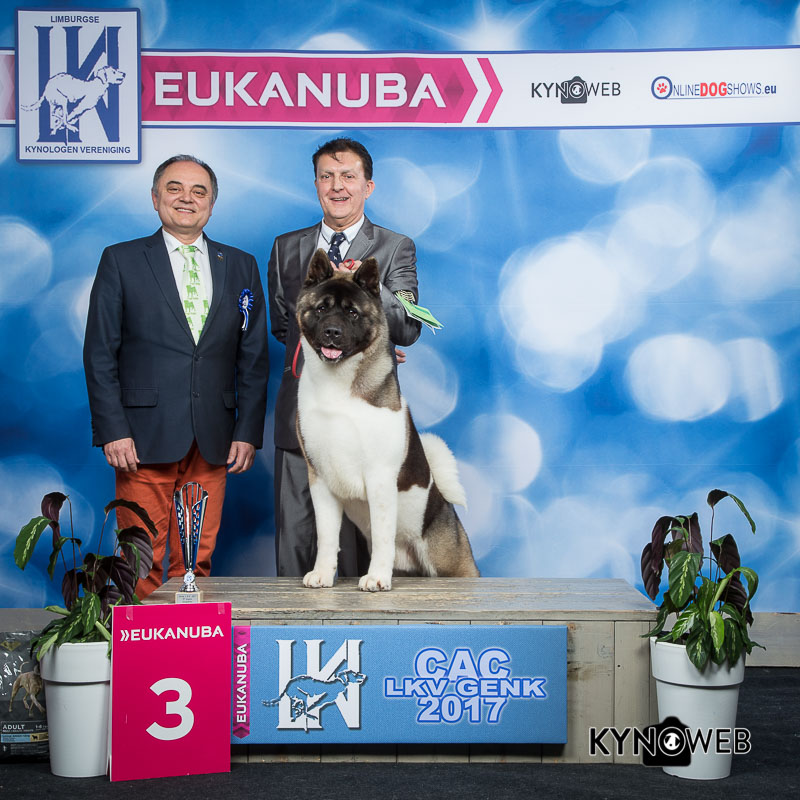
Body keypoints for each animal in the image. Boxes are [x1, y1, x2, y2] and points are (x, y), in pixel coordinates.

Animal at [296, 249, 479, 592]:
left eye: (352, 313)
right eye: (321, 309)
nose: (332, 333)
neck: (337, 384)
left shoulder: (380, 478)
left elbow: (383, 534)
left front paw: (377, 577)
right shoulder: (320, 478)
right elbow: (327, 537)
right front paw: (323, 574)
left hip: (453, 563)